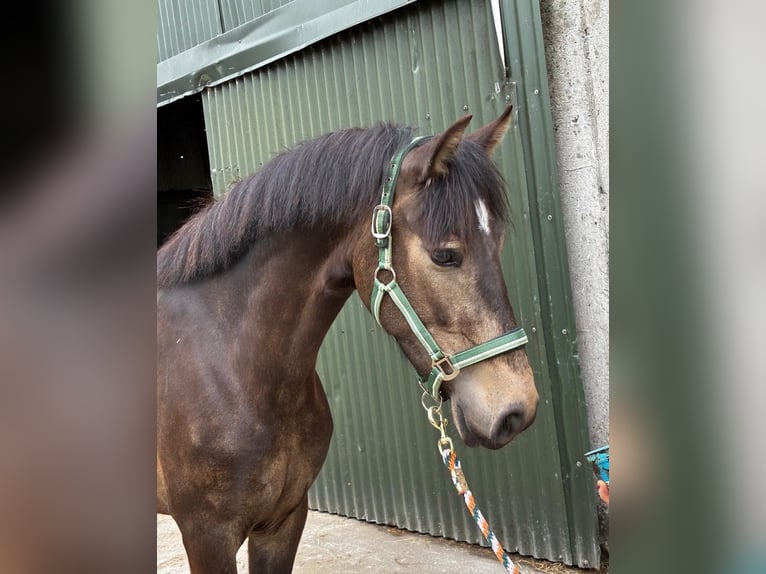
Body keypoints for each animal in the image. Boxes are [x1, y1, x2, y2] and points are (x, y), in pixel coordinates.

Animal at [156, 107, 539, 573]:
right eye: (445, 255)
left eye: (498, 243)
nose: (518, 409)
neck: (230, 367)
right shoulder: (206, 536)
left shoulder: (283, 522)